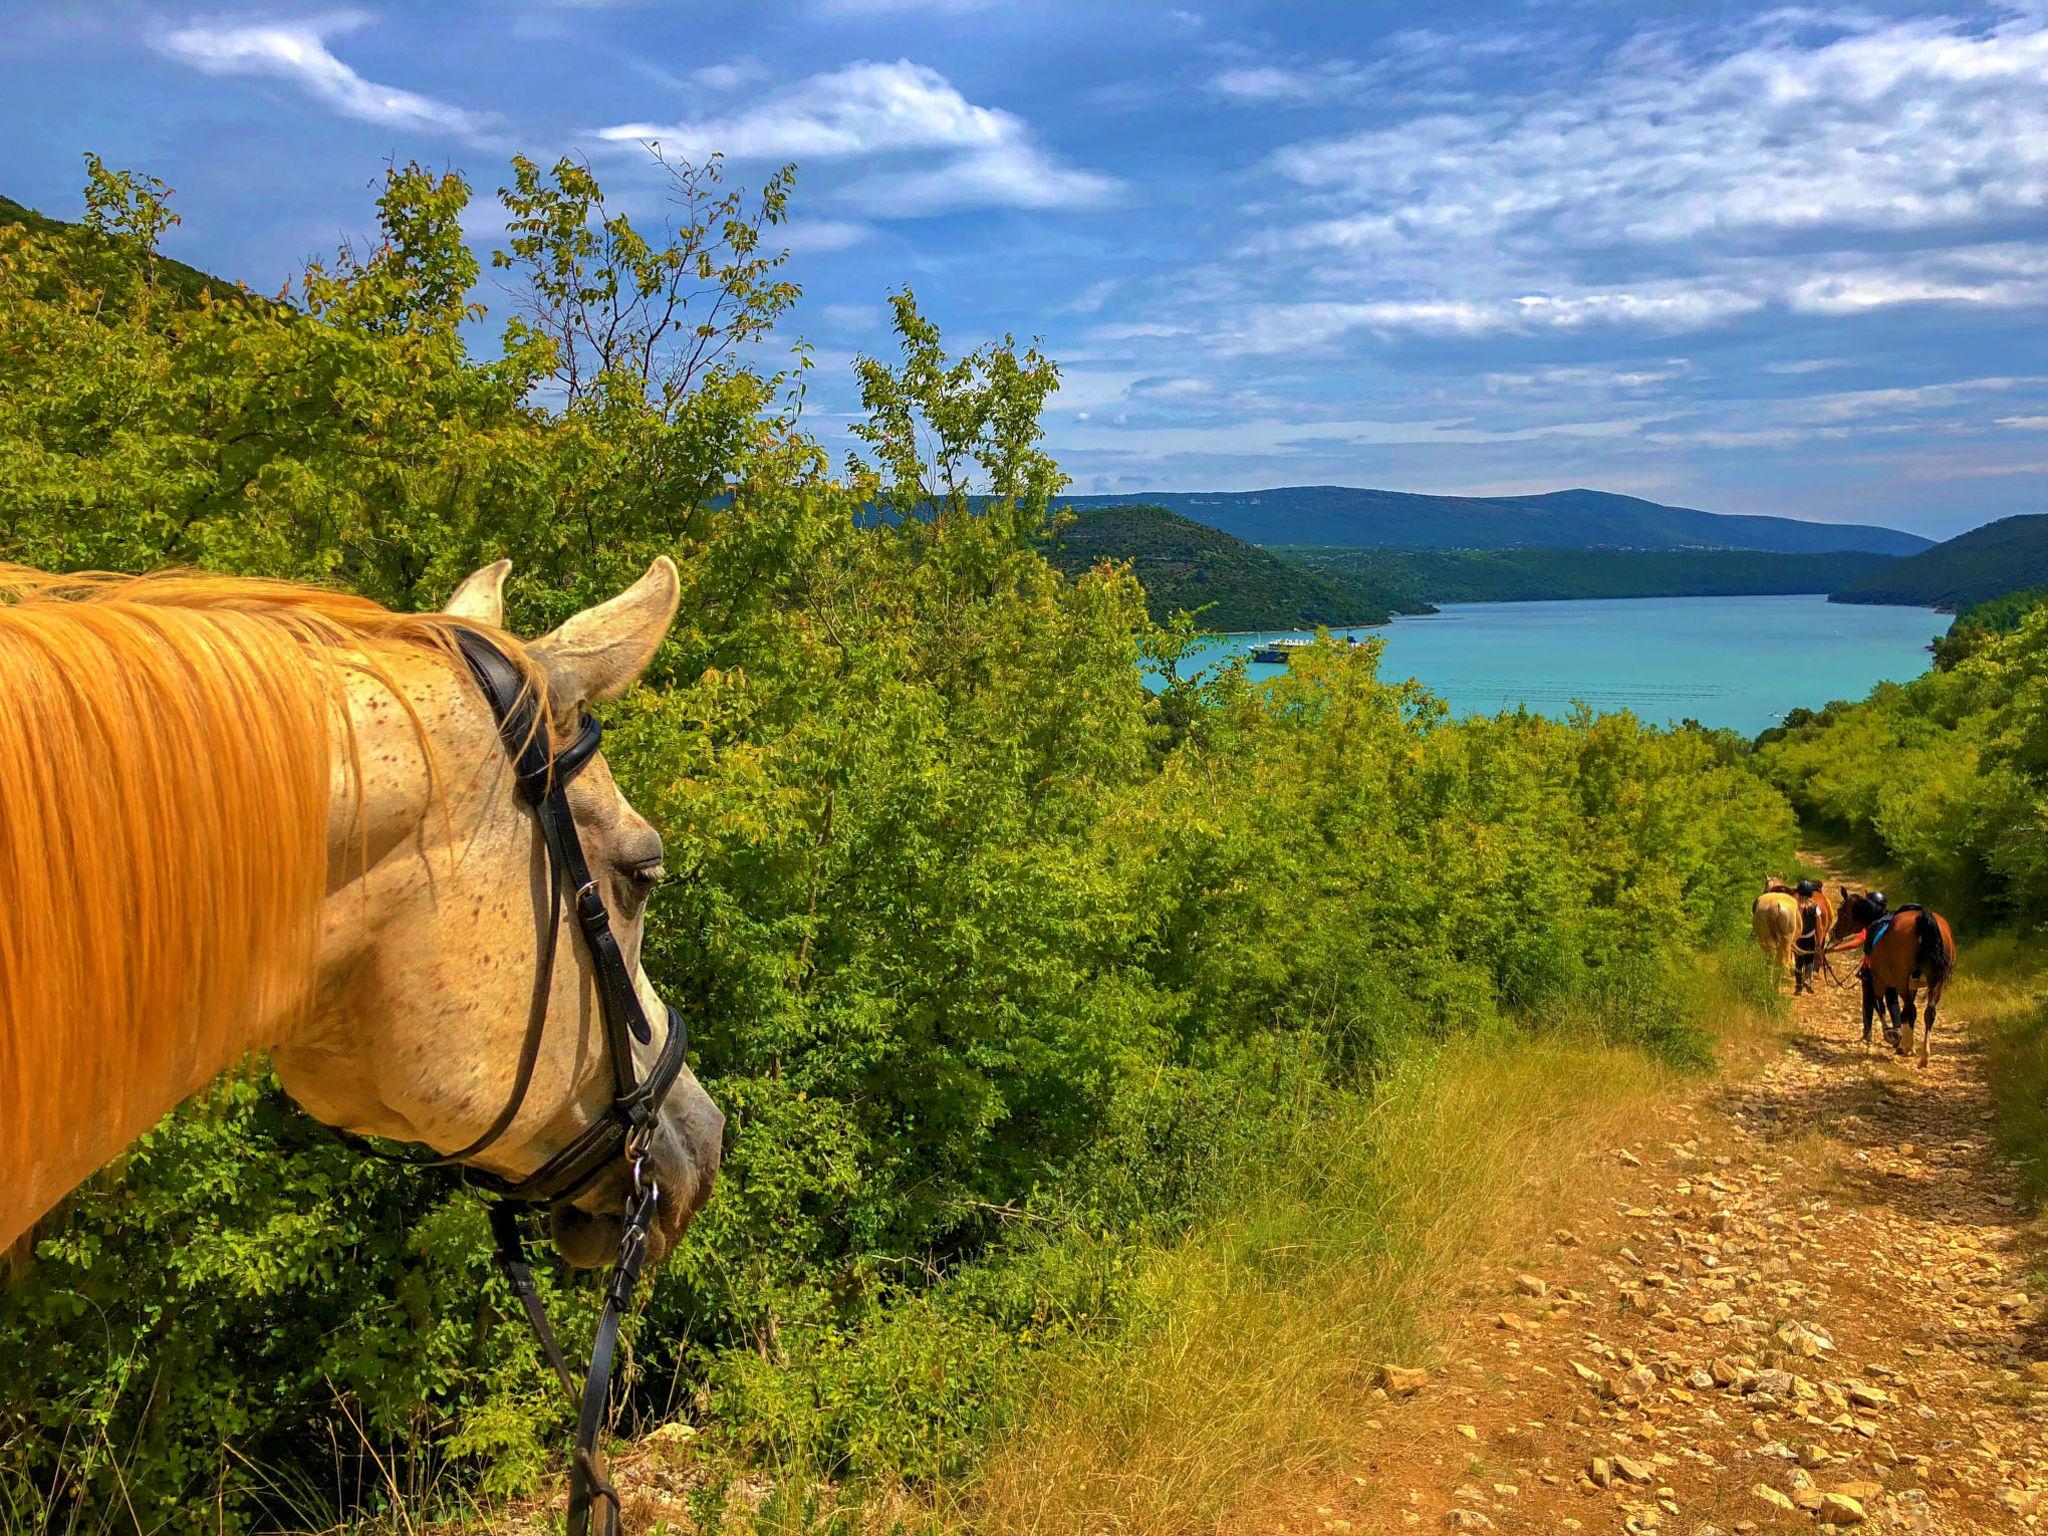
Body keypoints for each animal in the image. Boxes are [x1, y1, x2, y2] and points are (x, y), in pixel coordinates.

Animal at [1835, 888, 1957, 1073]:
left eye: (1841, 911)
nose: (1834, 932)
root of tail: (1924, 919)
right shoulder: (1912, 985)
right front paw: (1903, 1041)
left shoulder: (1879, 982)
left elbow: (1881, 1007)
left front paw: (1892, 1036)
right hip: (1936, 982)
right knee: (1928, 1012)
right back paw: (1923, 1056)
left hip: (1901, 982)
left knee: (1909, 1010)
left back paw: (1904, 1047)